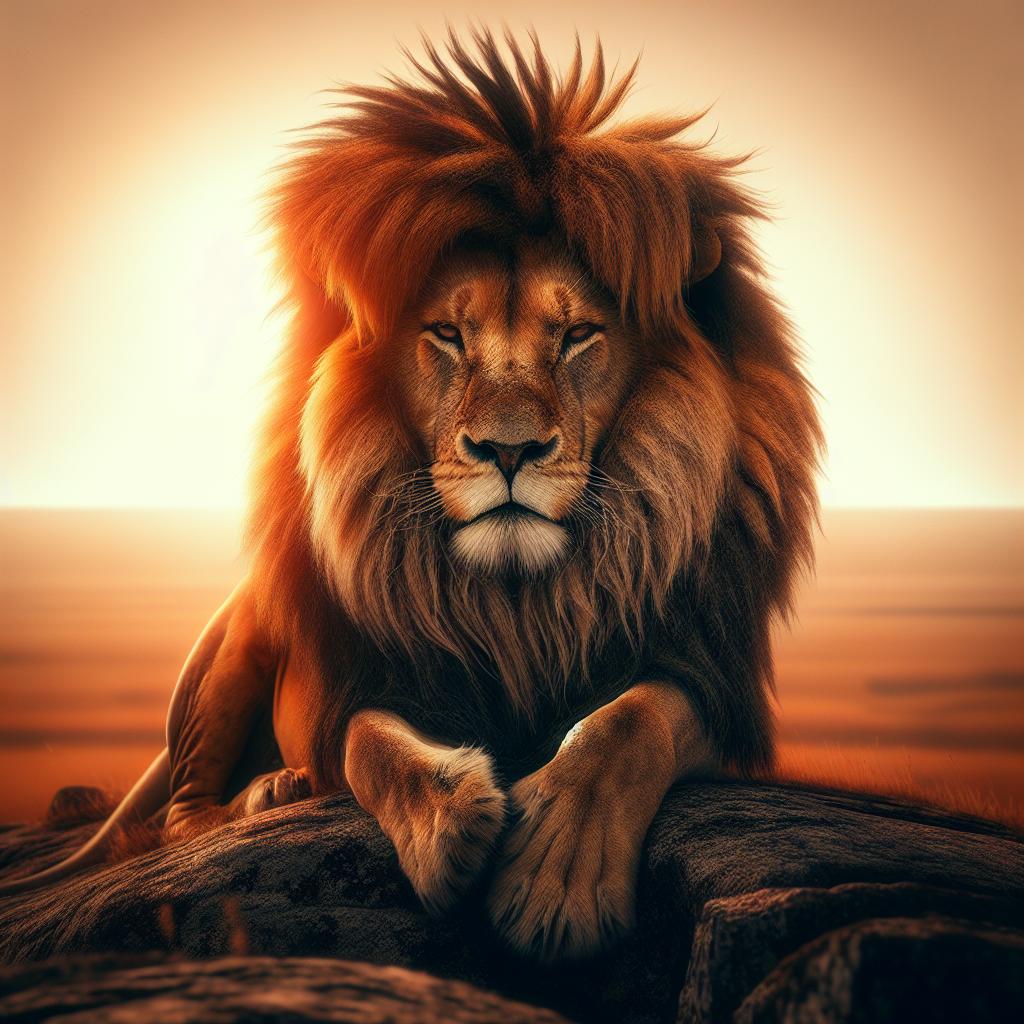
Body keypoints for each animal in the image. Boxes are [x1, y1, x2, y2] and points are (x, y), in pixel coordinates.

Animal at [0, 30, 821, 961]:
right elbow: (372, 747)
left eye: (578, 335)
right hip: (236, 647)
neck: (520, 601)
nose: (509, 449)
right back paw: (267, 795)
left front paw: (555, 880)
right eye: (447, 335)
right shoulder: (369, 678)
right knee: (180, 819)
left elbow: (625, 723)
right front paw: (448, 827)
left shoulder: (704, 678)